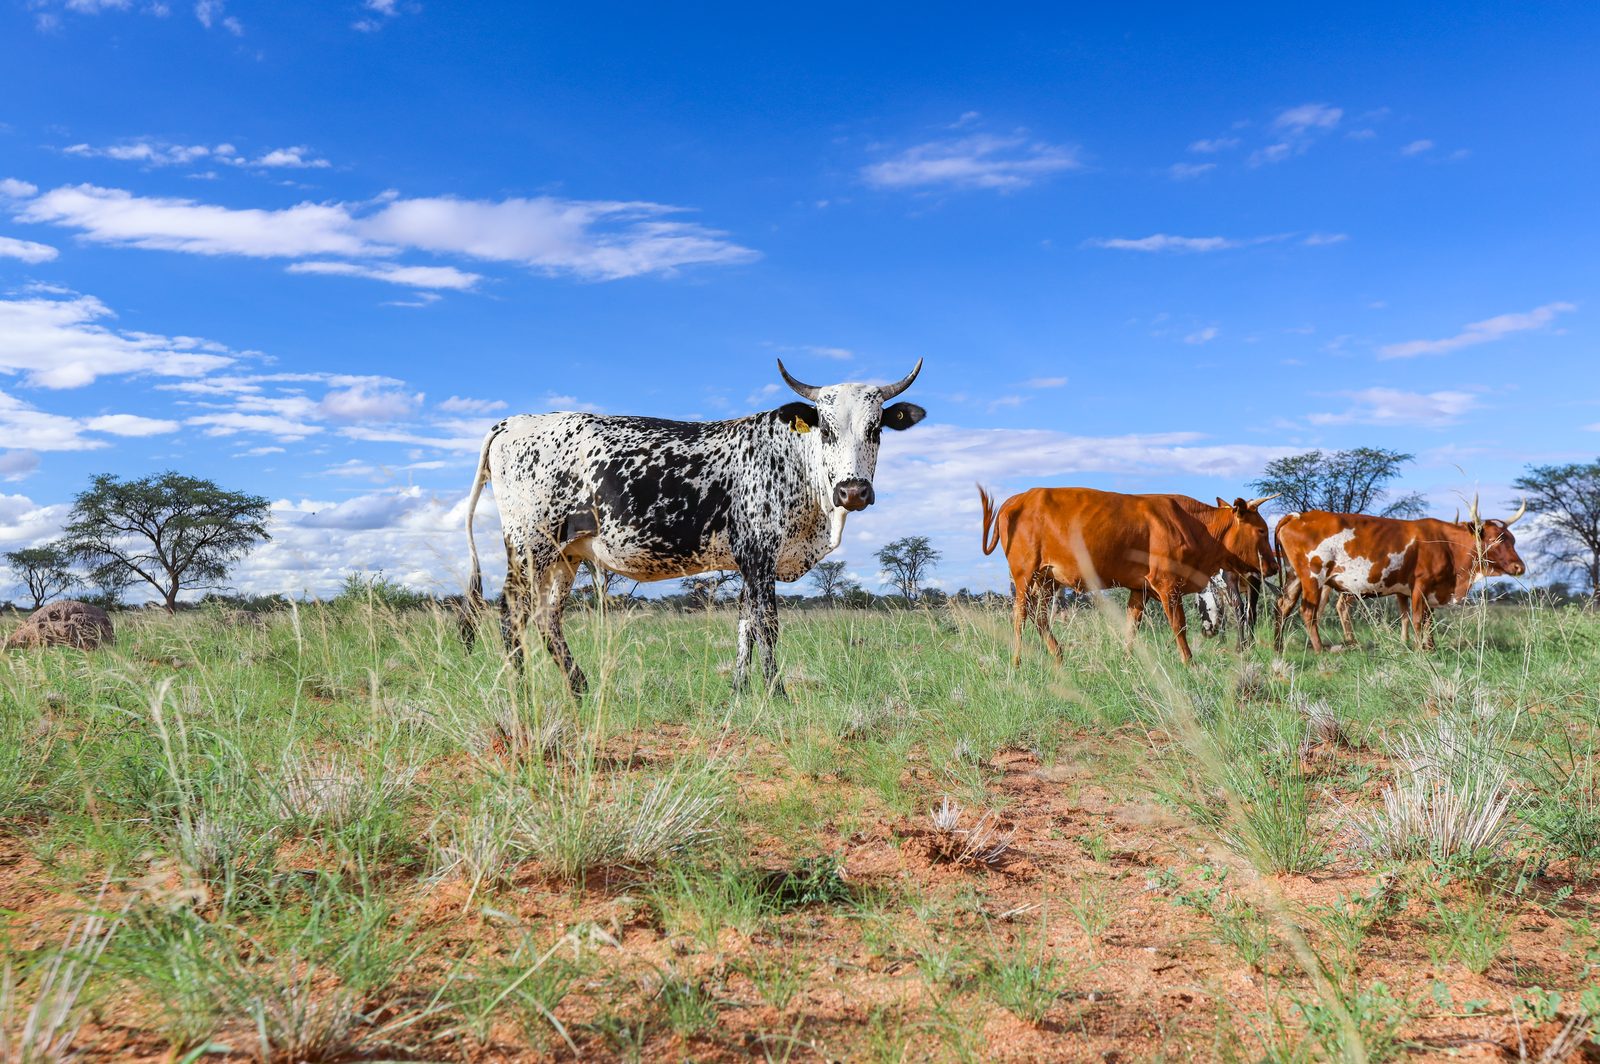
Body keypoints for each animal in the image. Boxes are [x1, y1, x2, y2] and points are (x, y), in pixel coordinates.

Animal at [463, 360, 926, 695]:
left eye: (876, 427)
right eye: (826, 428)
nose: (853, 491)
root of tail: (513, 422)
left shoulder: (748, 562)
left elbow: (745, 626)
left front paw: (739, 690)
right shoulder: (760, 553)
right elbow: (767, 625)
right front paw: (776, 693)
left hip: (565, 555)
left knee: (546, 618)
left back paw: (579, 687)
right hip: (530, 547)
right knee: (512, 613)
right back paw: (521, 691)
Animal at [978, 486, 1278, 665]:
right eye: (1261, 530)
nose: (1274, 567)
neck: (1196, 526)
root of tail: (1017, 499)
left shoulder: (1140, 589)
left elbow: (1132, 624)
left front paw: (1126, 659)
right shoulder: (1168, 585)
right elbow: (1179, 625)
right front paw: (1189, 662)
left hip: (1048, 579)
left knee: (1039, 616)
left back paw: (1058, 655)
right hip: (1024, 575)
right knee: (1020, 615)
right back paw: (1017, 661)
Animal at [1271, 498, 1527, 653]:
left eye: (1513, 539)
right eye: (1495, 539)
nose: (1519, 567)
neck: (1445, 543)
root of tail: (1297, 516)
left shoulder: (1423, 591)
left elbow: (1427, 620)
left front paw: (1430, 647)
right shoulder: (1419, 586)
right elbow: (1417, 619)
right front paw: (1420, 649)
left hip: (1294, 576)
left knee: (1283, 606)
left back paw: (1278, 646)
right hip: (1312, 578)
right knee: (1307, 612)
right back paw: (1319, 649)